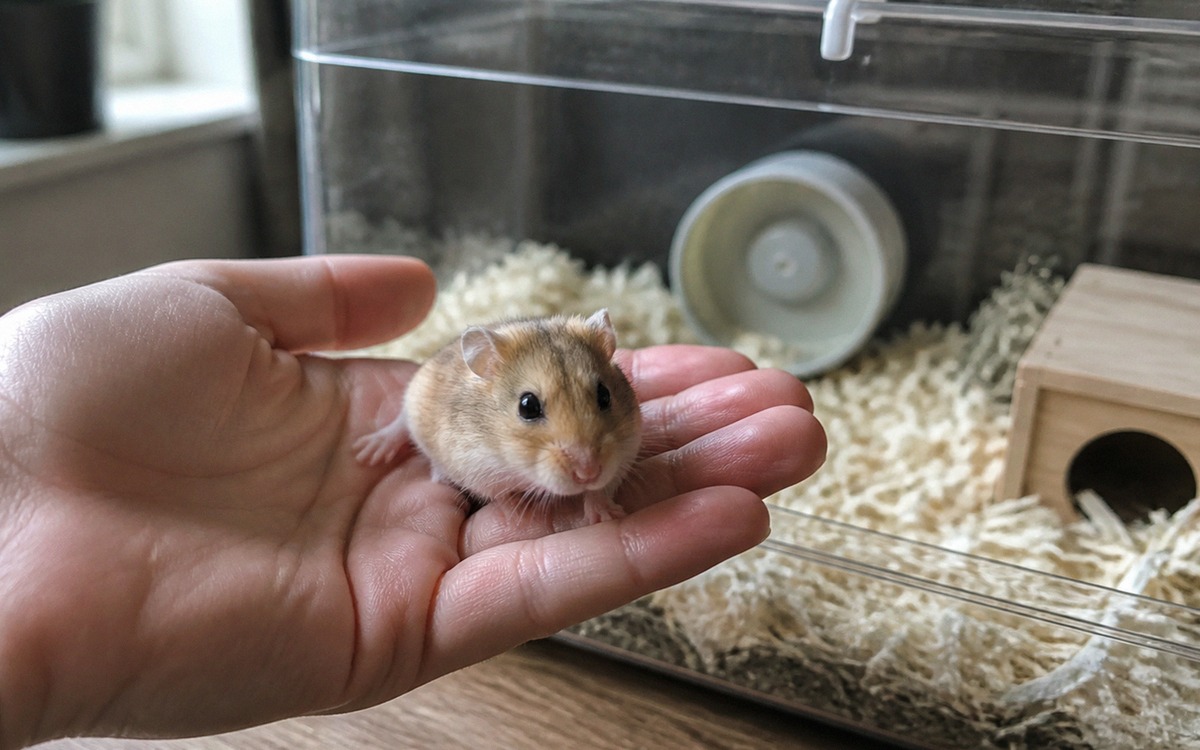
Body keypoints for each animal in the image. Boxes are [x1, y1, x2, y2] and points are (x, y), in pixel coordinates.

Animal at [354, 309, 643, 524]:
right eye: (527, 406)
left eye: (604, 395)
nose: (588, 472)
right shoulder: (476, 467)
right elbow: (503, 493)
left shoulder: (626, 452)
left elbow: (602, 489)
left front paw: (607, 516)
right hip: (412, 399)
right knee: (400, 423)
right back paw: (371, 451)